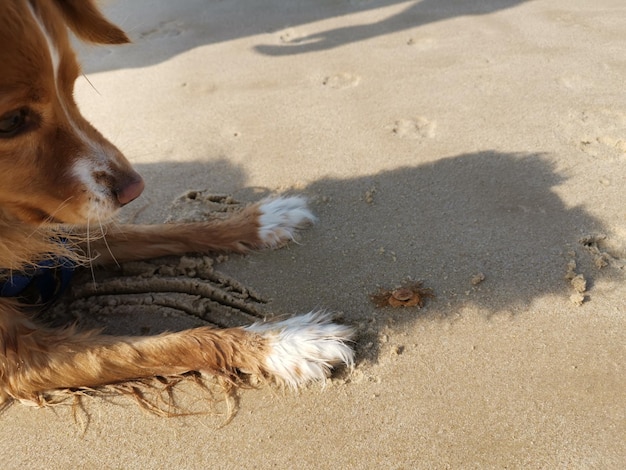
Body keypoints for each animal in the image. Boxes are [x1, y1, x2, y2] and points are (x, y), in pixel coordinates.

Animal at [0, 0, 352, 408]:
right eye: (10, 121)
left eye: (71, 87)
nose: (134, 189)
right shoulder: (20, 360)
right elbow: (166, 346)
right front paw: (283, 344)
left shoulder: (60, 237)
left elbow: (155, 232)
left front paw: (258, 222)